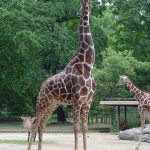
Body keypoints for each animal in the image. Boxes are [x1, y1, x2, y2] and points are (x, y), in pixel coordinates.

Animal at [27, 0, 95, 149]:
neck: (88, 66)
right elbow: (76, 128)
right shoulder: (77, 101)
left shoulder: (88, 101)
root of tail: (42, 85)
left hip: (52, 104)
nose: (85, 9)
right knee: (35, 124)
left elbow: (85, 128)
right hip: (42, 102)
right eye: (83, 2)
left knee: (42, 124)